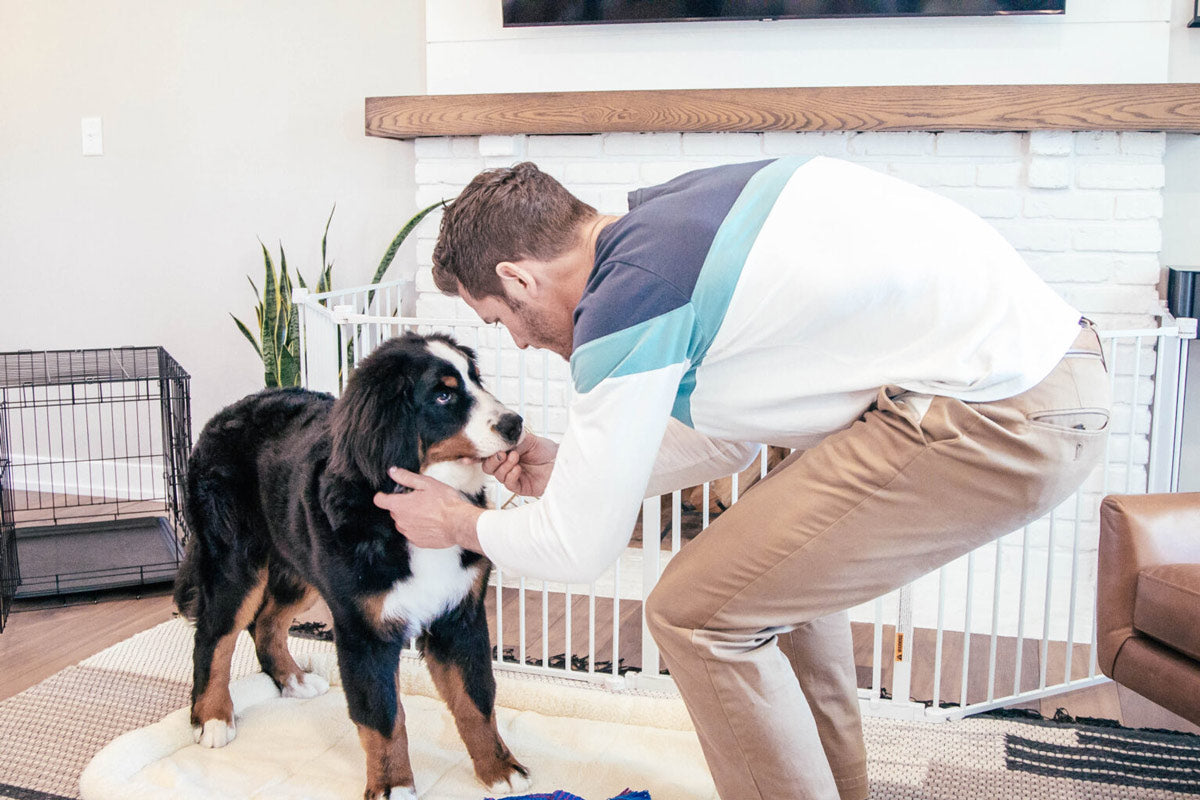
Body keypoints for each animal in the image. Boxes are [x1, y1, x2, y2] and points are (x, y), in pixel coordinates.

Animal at [176, 333, 530, 800]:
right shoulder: (364, 629)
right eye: (443, 394)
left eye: (476, 379)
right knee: (214, 636)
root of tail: (225, 413)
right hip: (237, 566)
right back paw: (213, 717)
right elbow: (383, 718)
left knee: (266, 623)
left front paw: (498, 769)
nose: (515, 423)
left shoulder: (459, 615)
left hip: (299, 566)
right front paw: (393, 785)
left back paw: (293, 680)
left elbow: (477, 699)